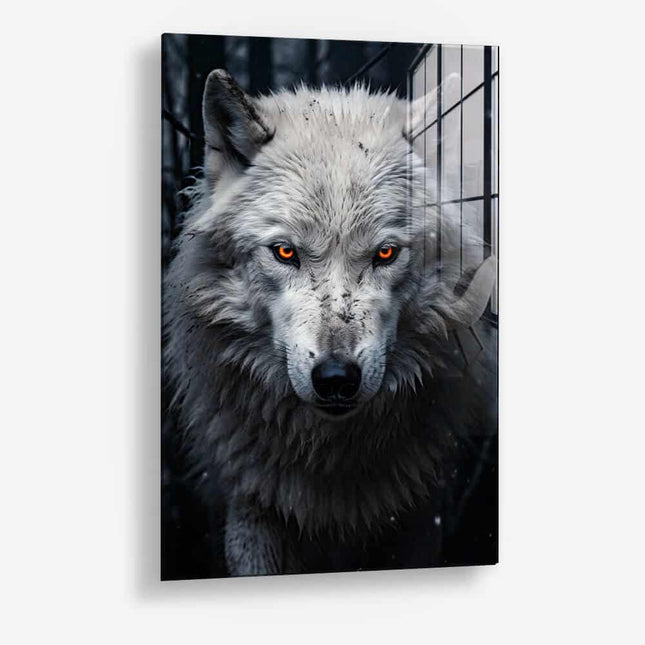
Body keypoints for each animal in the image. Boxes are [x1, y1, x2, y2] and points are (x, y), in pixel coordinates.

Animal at [163, 69, 497, 576]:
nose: (336, 379)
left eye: (385, 253)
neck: (330, 462)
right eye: (285, 252)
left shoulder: (419, 519)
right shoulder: (250, 507)